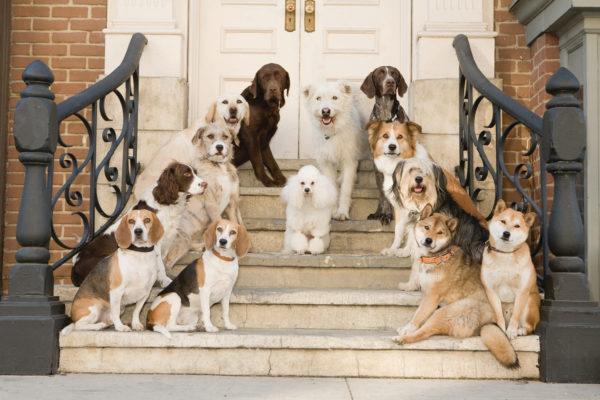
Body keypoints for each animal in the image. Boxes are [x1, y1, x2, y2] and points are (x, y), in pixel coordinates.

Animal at [302, 80, 368, 220]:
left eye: (334, 98)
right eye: (318, 98)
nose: (325, 111)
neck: (333, 131)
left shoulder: (349, 160)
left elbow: (346, 189)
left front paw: (342, 212)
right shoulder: (326, 163)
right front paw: (332, 211)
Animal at [396, 206, 516, 372]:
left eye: (440, 232)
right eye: (427, 227)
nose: (428, 240)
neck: (437, 257)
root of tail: (490, 322)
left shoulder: (431, 297)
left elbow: (417, 316)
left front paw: (408, 328)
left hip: (446, 312)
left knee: (425, 332)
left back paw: (403, 338)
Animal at [480, 198, 540, 340]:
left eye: (517, 226)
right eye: (503, 221)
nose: (506, 233)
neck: (505, 255)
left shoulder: (522, 291)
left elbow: (516, 315)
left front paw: (512, 331)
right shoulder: (491, 291)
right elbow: (499, 316)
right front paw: (502, 331)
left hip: (529, 303)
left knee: (530, 327)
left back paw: (520, 330)